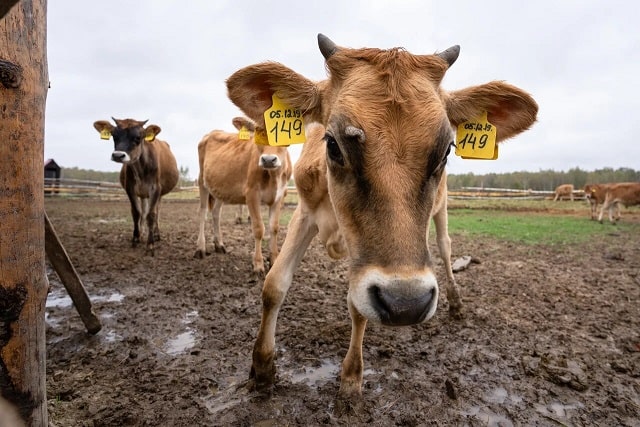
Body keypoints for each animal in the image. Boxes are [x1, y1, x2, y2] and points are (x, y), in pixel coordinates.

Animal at [92, 118, 179, 256]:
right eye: (114, 136)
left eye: (138, 138)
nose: (118, 155)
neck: (140, 168)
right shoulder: (130, 188)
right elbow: (136, 212)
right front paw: (136, 238)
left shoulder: (155, 188)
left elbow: (151, 215)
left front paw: (150, 244)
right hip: (143, 193)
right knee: (143, 210)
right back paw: (143, 232)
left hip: (159, 193)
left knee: (156, 210)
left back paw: (156, 234)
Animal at [194, 118, 292, 278]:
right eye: (258, 133)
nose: (268, 160)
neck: (273, 176)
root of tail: (212, 132)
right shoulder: (252, 194)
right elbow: (259, 229)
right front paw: (258, 265)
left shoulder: (280, 196)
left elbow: (274, 227)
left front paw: (273, 260)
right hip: (202, 181)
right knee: (202, 213)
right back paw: (200, 248)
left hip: (220, 187)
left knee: (216, 213)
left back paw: (219, 245)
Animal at [225, 35, 536, 402]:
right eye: (333, 145)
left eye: (446, 151)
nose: (406, 303)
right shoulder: (305, 211)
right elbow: (275, 284)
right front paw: (262, 369)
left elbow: (357, 307)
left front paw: (351, 379)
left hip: (442, 208)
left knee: (445, 246)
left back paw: (457, 303)